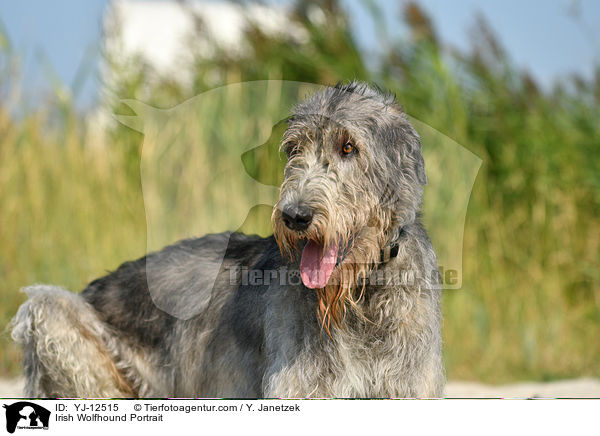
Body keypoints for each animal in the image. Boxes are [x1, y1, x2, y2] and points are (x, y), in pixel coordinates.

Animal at [10, 82, 446, 398]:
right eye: (294, 149)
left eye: (349, 147)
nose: (295, 216)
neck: (362, 294)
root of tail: (96, 286)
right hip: (52, 315)